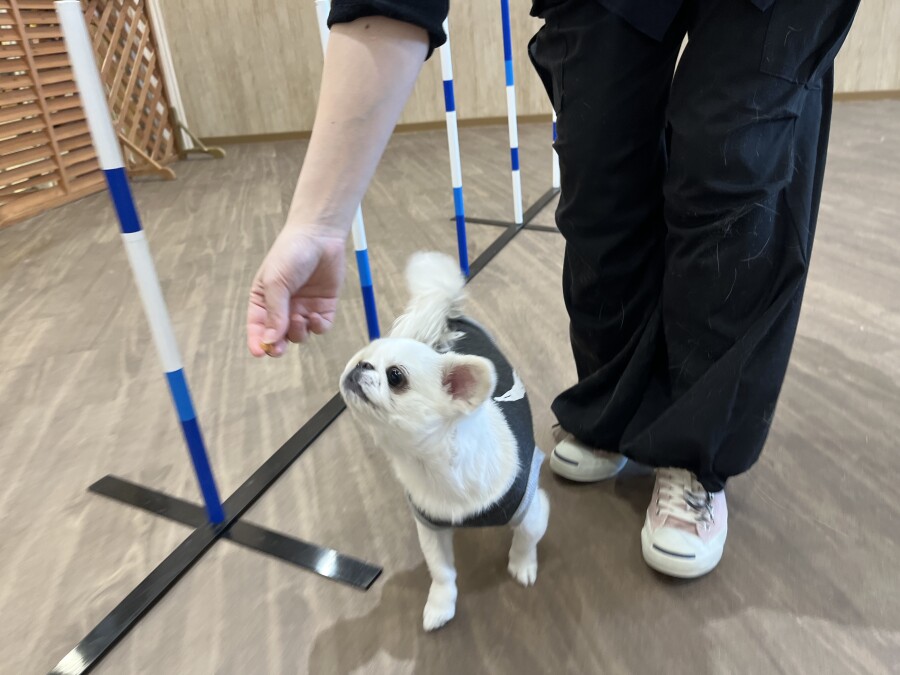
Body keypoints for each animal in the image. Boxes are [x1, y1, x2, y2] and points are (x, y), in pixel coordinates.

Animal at [340, 252, 550, 631]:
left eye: (396, 376)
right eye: (362, 357)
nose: (360, 365)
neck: (432, 463)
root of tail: (448, 314)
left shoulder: (533, 508)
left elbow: (525, 540)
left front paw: (522, 566)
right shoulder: (431, 527)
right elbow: (442, 572)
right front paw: (441, 605)